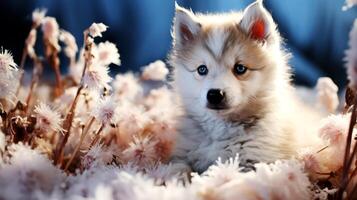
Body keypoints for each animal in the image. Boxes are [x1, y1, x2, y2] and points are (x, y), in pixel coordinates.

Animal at [168, 0, 320, 173]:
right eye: (202, 69)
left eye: (240, 68)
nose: (215, 94)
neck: (222, 127)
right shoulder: (182, 153)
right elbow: (178, 168)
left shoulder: (255, 162)